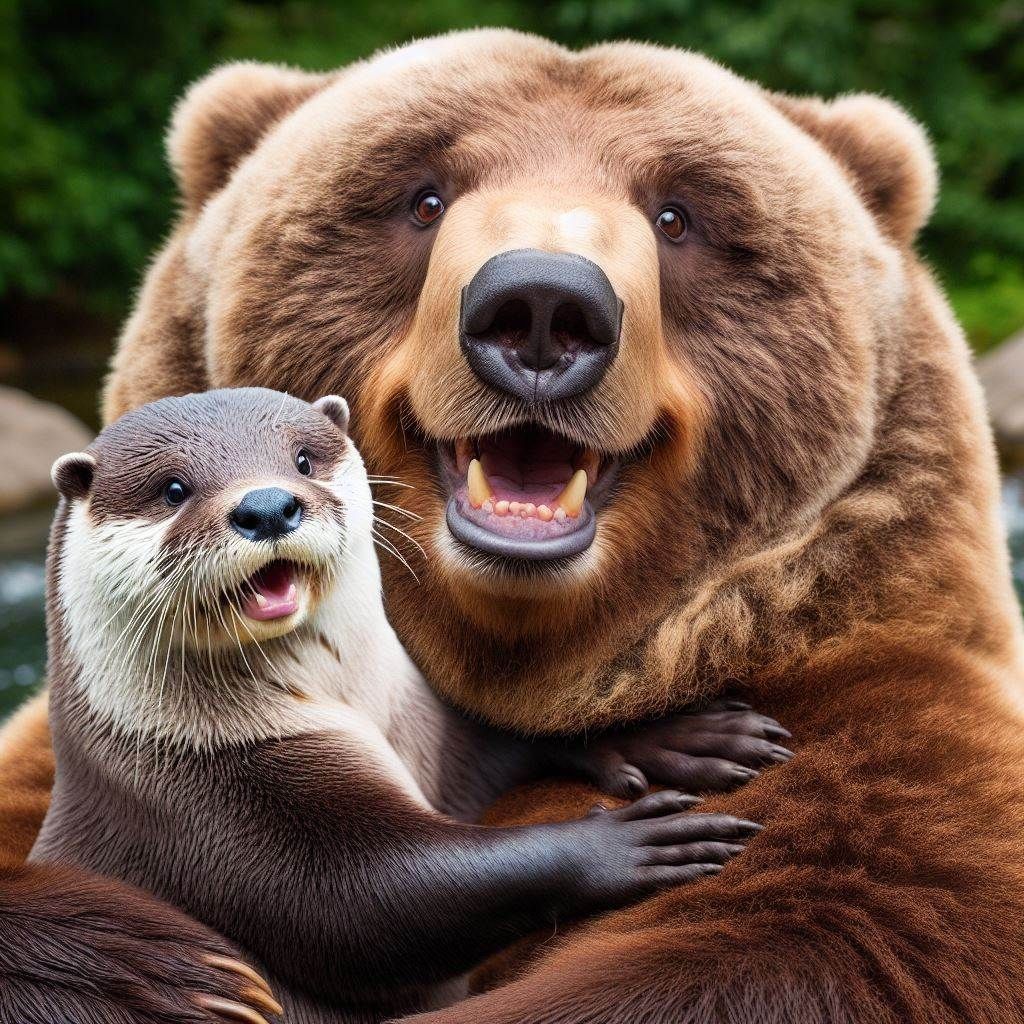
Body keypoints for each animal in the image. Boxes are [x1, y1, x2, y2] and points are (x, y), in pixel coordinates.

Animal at [31, 388, 790, 1023]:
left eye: (303, 458)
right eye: (173, 489)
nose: (268, 506)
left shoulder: (430, 729)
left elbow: (503, 745)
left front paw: (671, 738)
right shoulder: (214, 808)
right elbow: (368, 907)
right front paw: (622, 845)